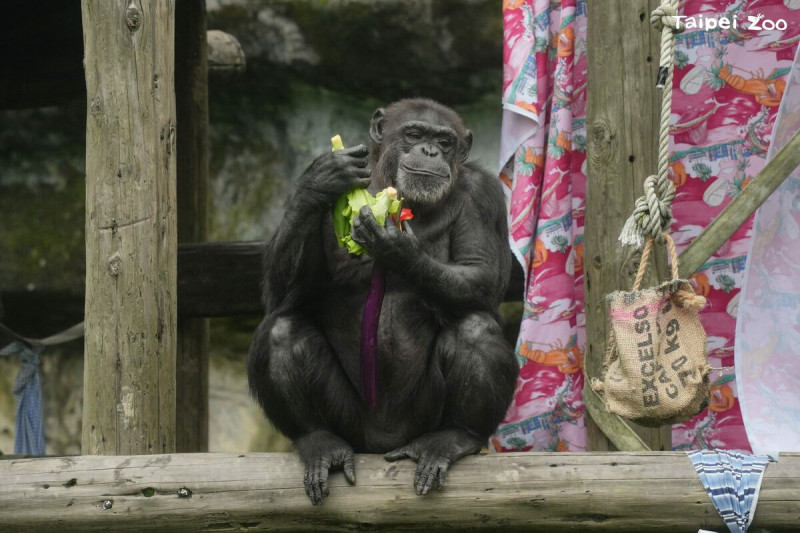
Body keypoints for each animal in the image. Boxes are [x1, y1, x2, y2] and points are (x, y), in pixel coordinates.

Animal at [248, 98, 520, 502]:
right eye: (415, 133)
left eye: (445, 141)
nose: (430, 151)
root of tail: (382, 445)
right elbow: (284, 296)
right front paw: (322, 179)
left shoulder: (482, 195)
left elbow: (480, 272)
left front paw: (398, 248)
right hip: (349, 422)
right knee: (282, 331)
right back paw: (319, 442)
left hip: (419, 420)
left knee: (475, 329)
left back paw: (453, 438)